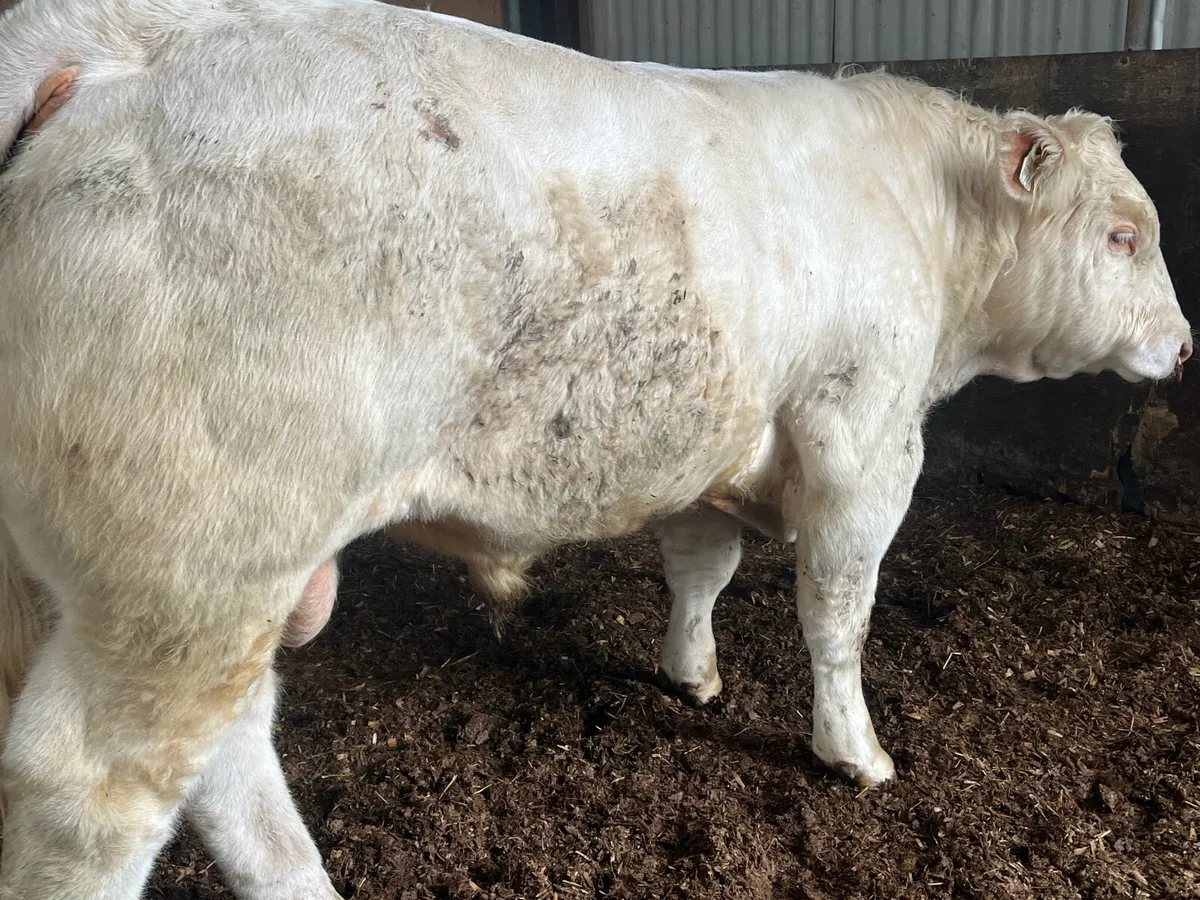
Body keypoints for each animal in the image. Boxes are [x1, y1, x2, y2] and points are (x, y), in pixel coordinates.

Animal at [0, 0, 1191, 896]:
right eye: (1123, 235)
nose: (1183, 344)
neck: (925, 222)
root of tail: (136, 36)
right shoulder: (863, 443)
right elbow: (837, 614)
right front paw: (853, 750)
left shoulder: (710, 441)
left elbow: (701, 569)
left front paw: (691, 674)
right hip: (197, 559)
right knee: (98, 792)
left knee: (227, 758)